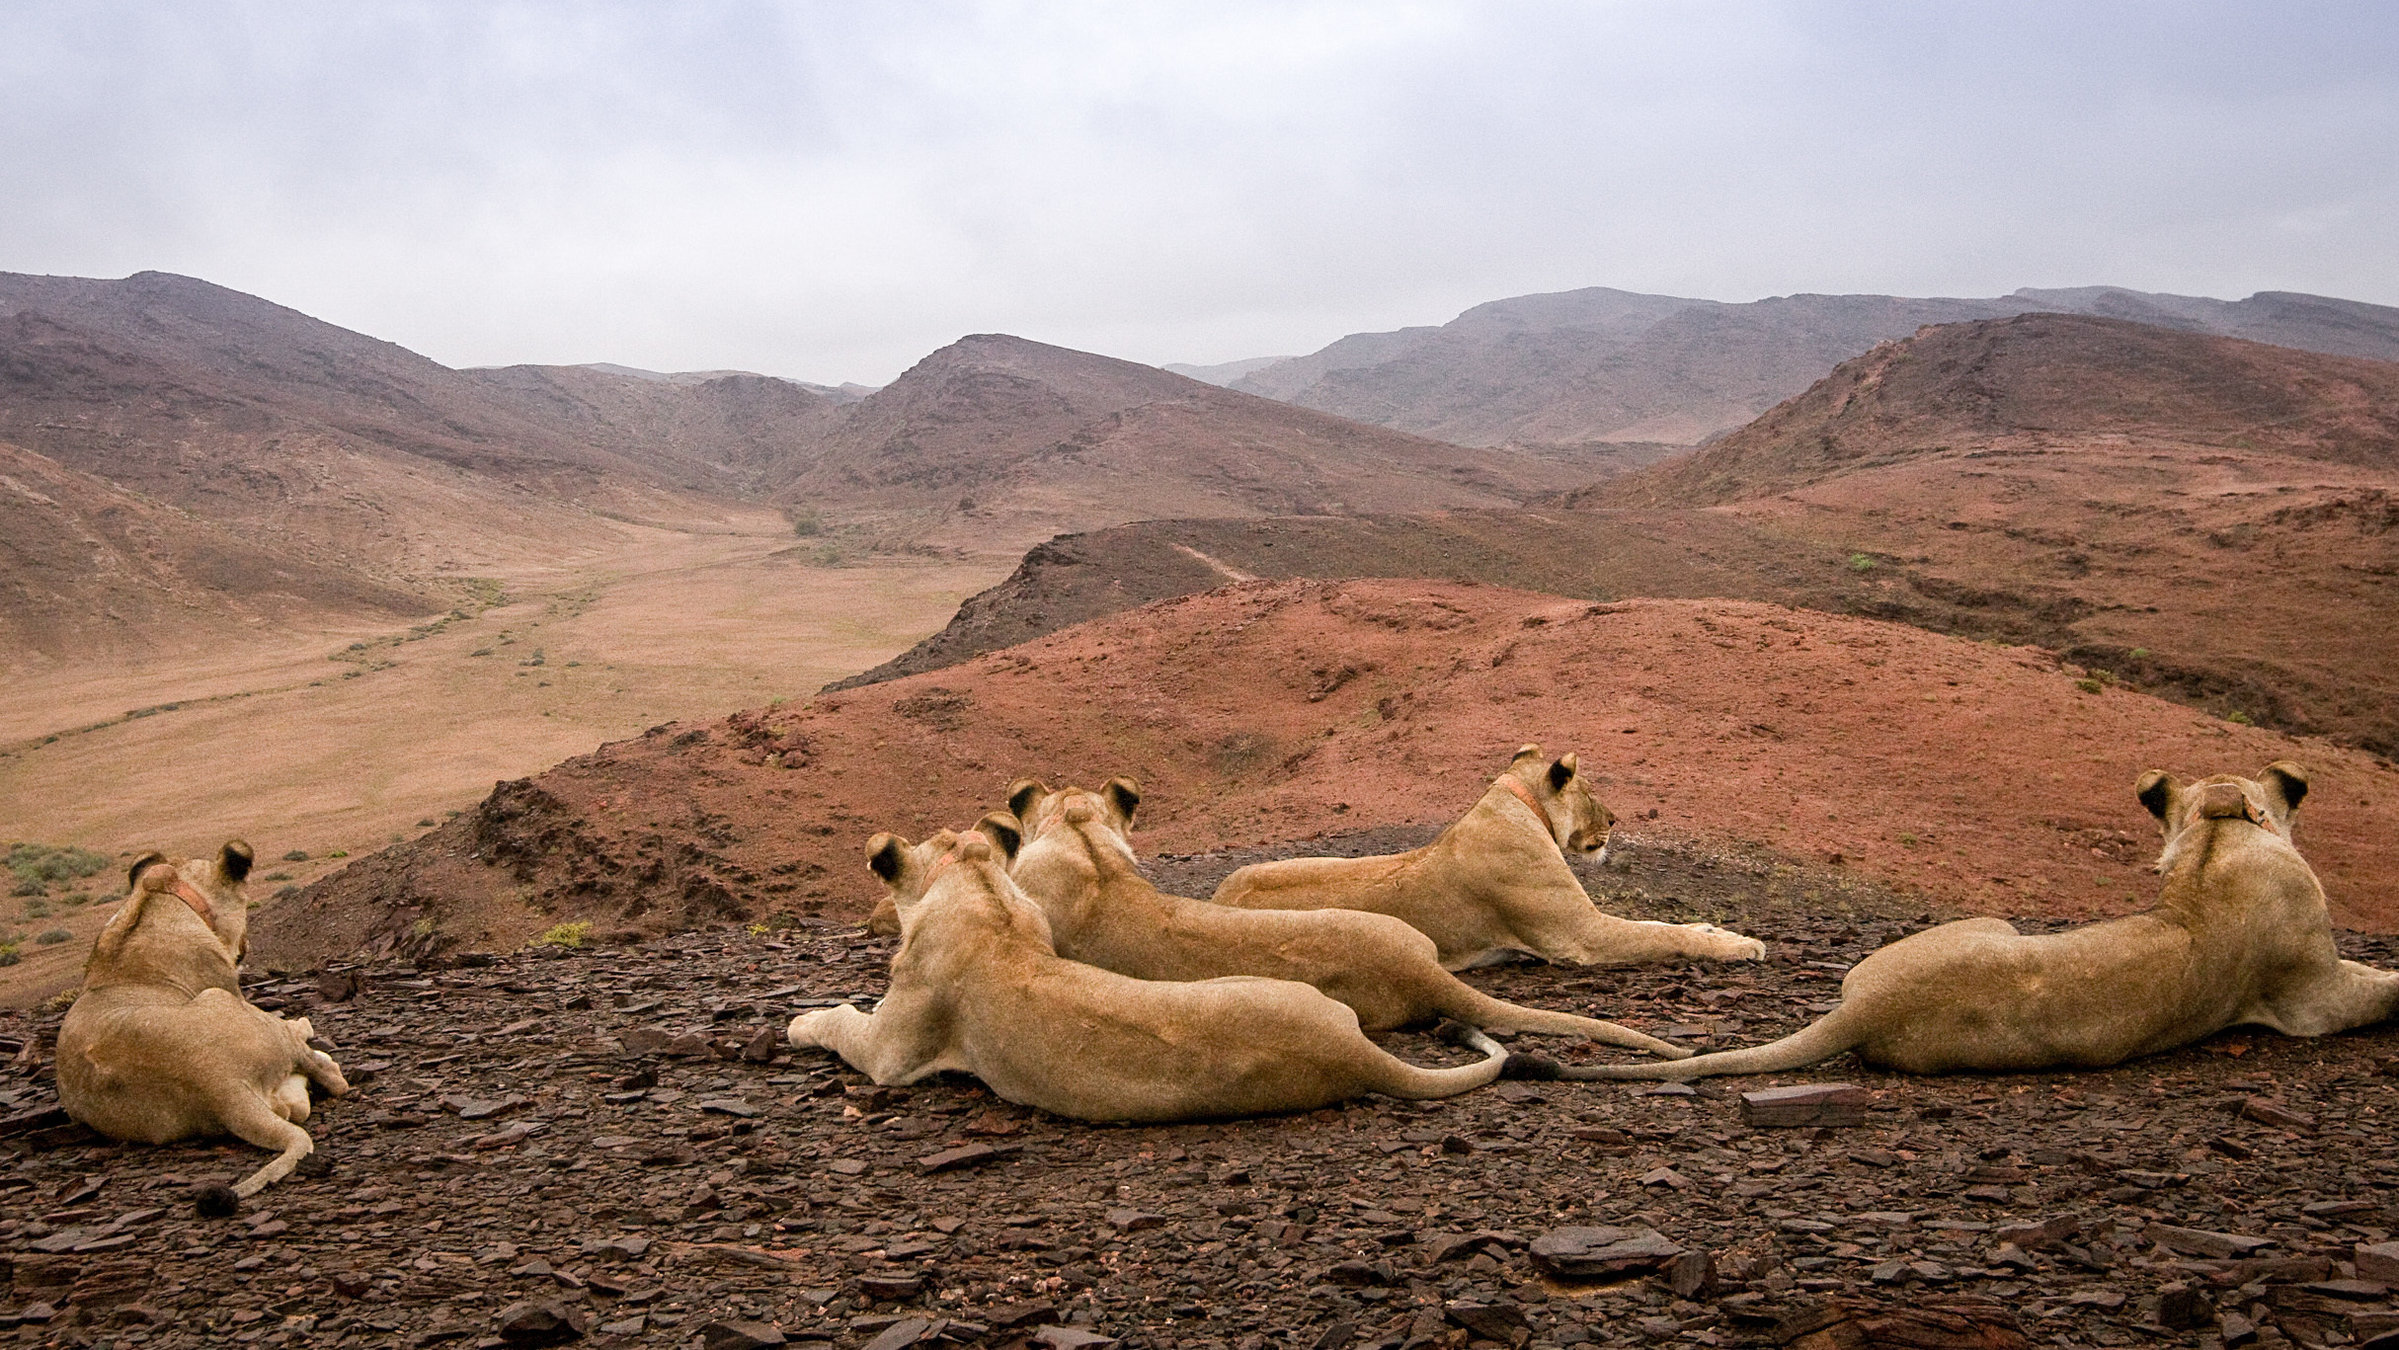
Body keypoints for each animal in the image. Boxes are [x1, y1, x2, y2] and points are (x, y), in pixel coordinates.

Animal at [55, 843, 350, 1197]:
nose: (247, 944)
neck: (155, 898)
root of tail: (219, 1086)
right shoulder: (226, 984)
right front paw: (301, 1024)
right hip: (220, 999)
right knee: (329, 1076)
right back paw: (309, 1039)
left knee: (290, 1108)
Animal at [1212, 745, 1767, 970]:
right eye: (1591, 792)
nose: (1614, 821)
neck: (1524, 808)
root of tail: (1217, 899)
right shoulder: (1582, 936)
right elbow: (1664, 936)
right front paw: (1742, 946)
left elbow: (1666, 925)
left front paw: (1715, 928)